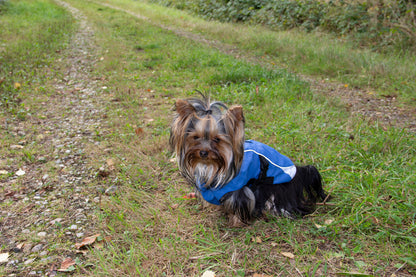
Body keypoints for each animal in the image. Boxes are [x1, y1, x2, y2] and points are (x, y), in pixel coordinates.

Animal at [169, 94, 328, 224]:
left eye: (217, 139)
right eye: (195, 137)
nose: (203, 152)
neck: (213, 166)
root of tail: (298, 171)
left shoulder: (240, 190)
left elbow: (239, 205)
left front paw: (236, 222)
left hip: (276, 188)